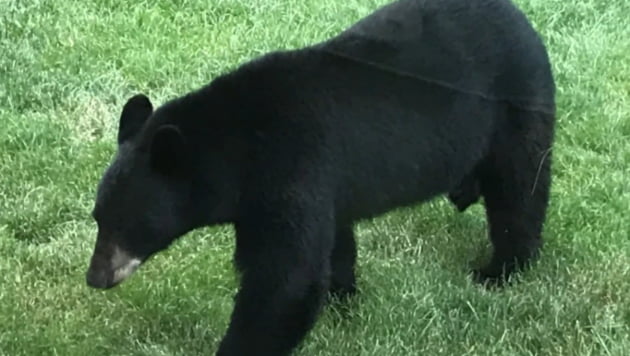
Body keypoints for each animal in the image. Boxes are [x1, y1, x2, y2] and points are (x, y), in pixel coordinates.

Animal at [85, 0, 556, 354]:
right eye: (98, 218)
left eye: (129, 223)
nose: (96, 278)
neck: (239, 149)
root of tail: (520, 18)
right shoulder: (303, 190)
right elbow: (332, 246)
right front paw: (343, 298)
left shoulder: (292, 168)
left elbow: (286, 280)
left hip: (517, 105)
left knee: (519, 190)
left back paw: (501, 269)